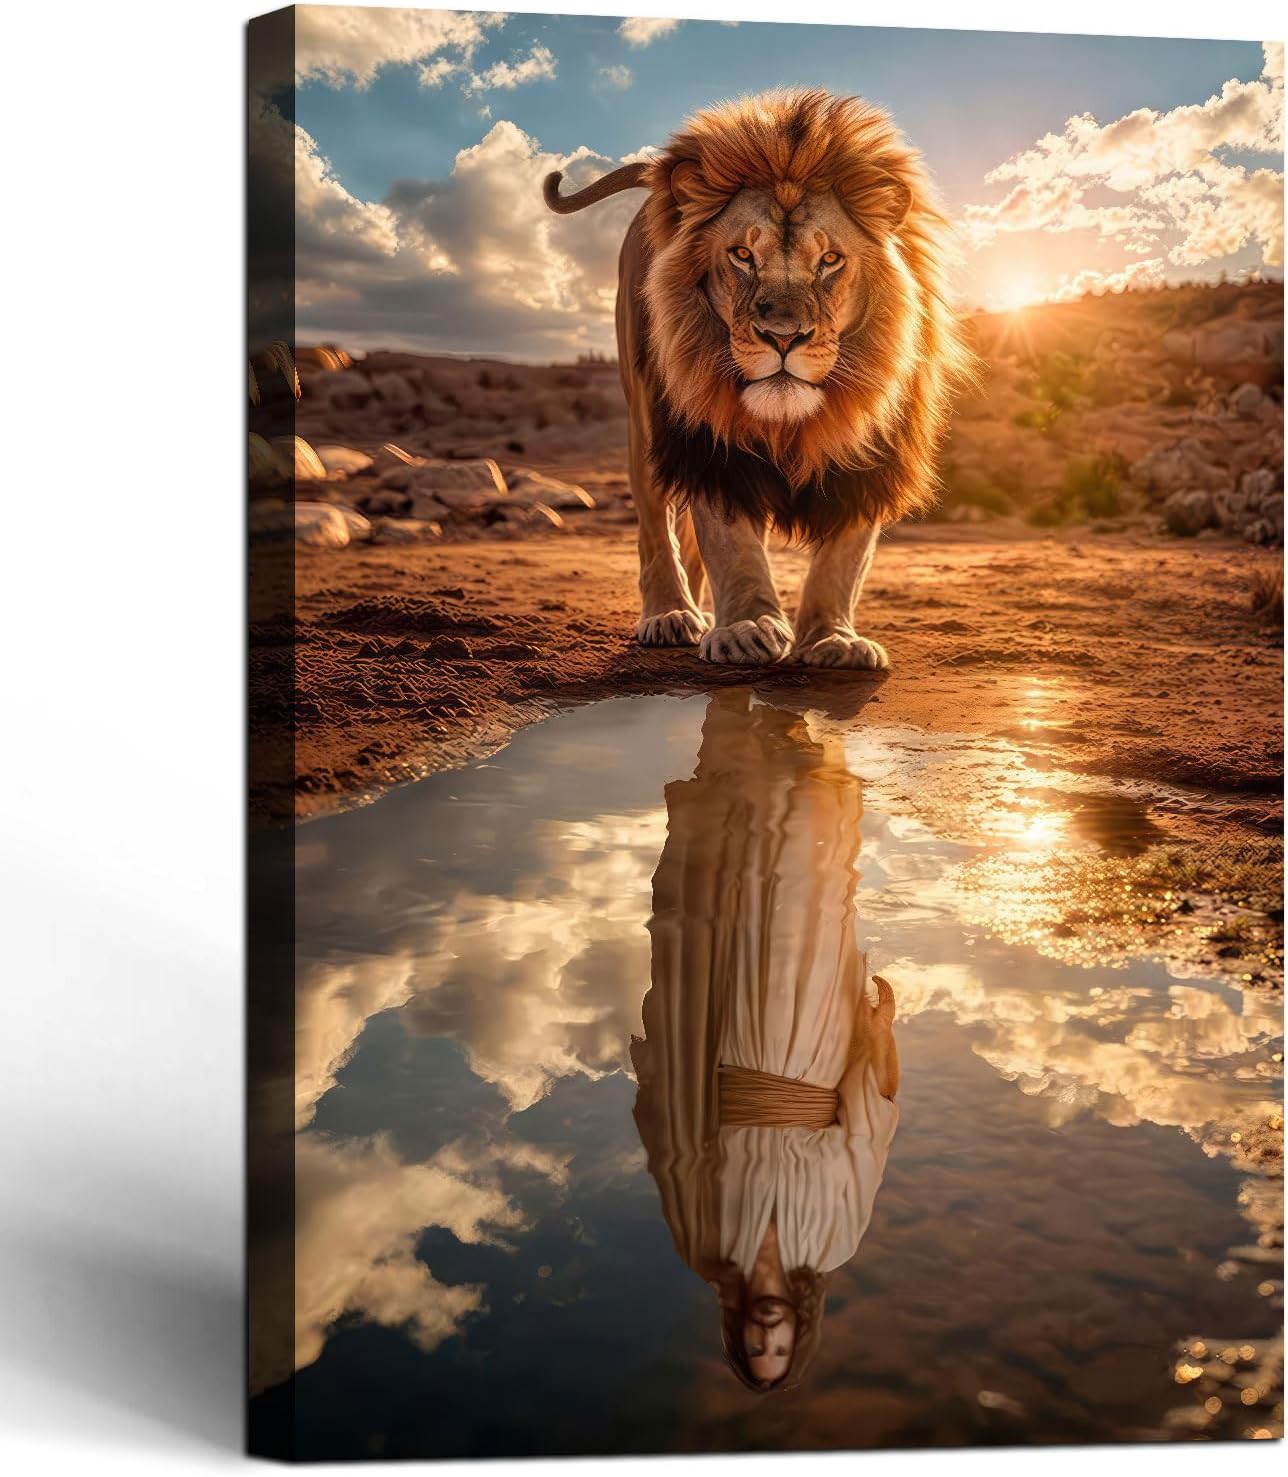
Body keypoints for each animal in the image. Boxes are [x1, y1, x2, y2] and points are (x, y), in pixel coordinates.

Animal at [544, 88, 973, 667]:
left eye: (830, 259)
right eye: (743, 255)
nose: (783, 337)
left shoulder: (874, 455)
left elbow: (844, 559)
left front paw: (834, 638)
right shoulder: (708, 441)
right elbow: (731, 545)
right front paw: (746, 627)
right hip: (646, 421)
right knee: (656, 527)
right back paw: (672, 614)